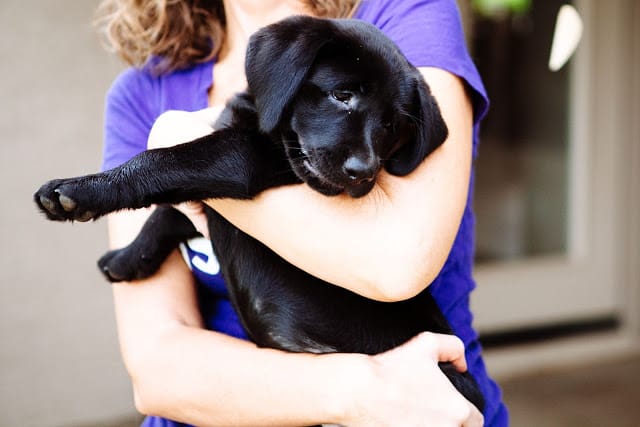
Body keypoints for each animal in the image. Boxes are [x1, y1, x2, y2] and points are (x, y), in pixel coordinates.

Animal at [35, 15, 482, 412]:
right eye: (342, 95)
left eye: (392, 126)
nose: (364, 172)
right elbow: (171, 211)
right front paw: (129, 257)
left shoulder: (243, 159)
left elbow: (162, 161)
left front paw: (82, 190)